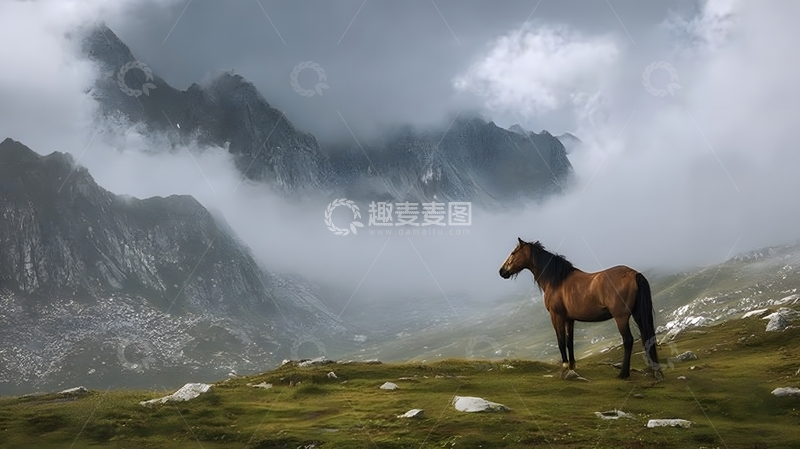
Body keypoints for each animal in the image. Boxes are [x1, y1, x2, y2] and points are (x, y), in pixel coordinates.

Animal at [499, 238, 663, 380]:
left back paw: (623, 374)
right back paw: (651, 370)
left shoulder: (556, 316)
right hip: (637, 314)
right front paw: (572, 367)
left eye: (513, 253)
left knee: (628, 340)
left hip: (621, 317)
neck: (557, 281)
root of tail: (635, 274)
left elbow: (560, 341)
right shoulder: (569, 319)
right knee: (646, 337)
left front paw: (565, 368)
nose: (501, 271)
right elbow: (569, 341)